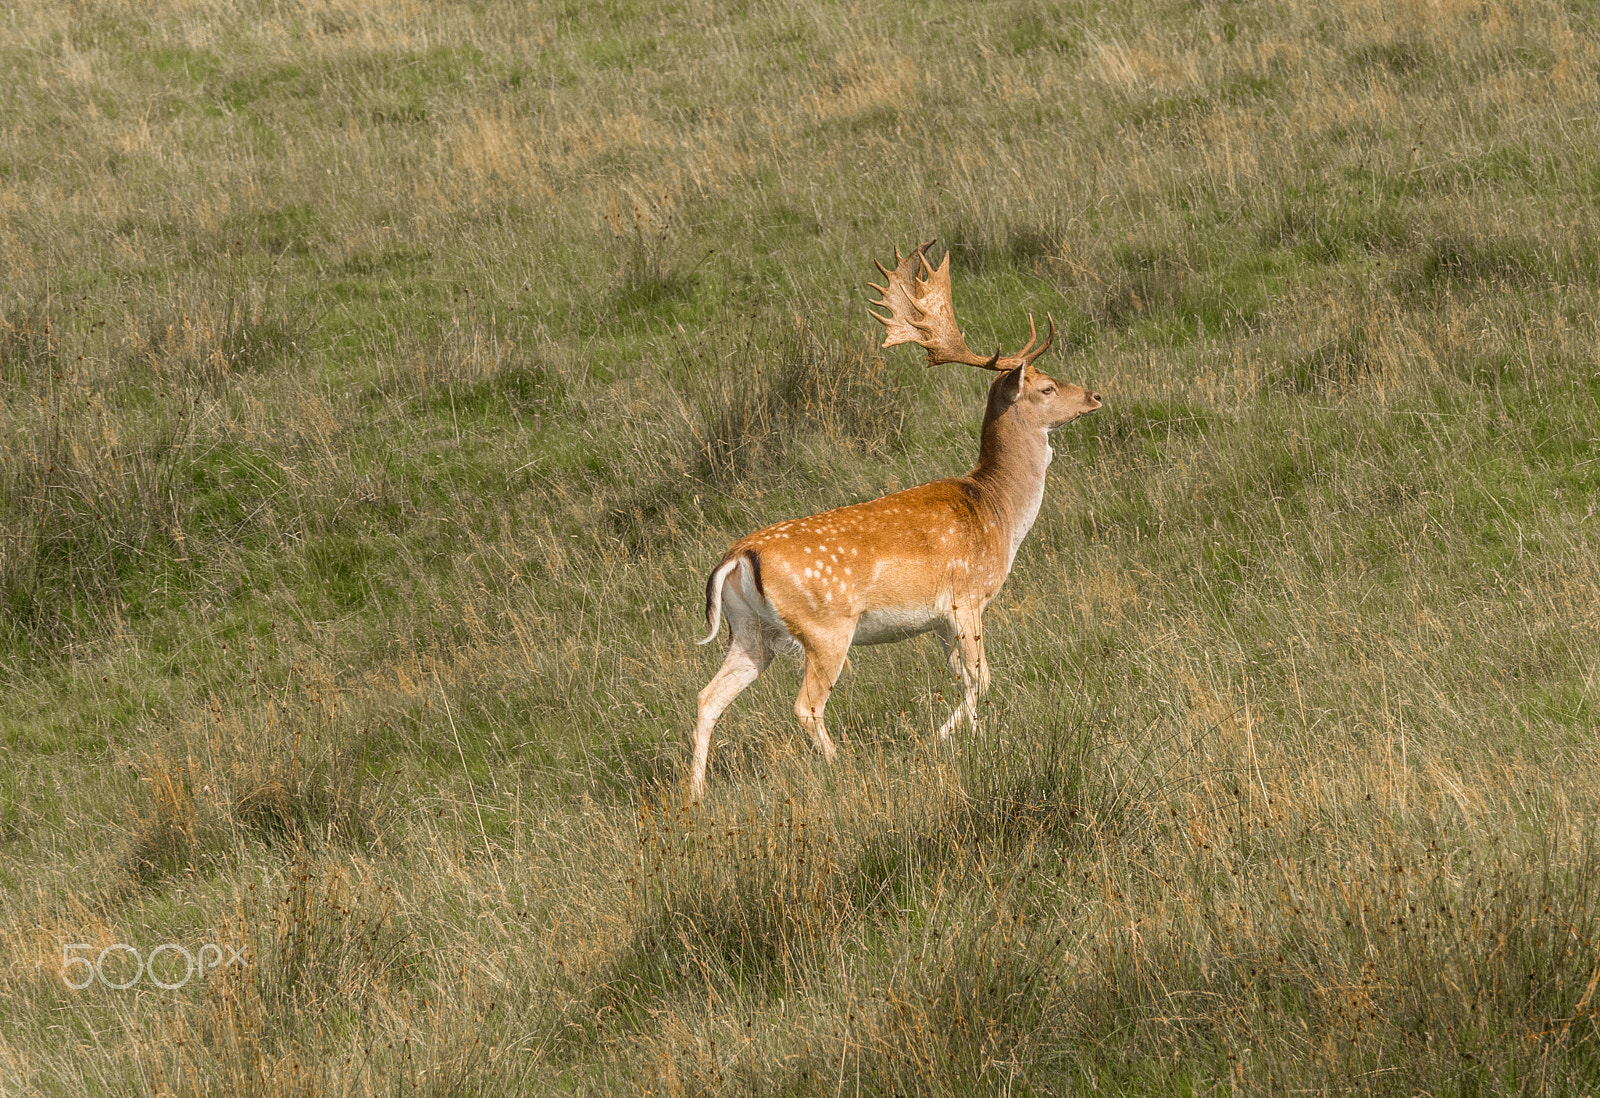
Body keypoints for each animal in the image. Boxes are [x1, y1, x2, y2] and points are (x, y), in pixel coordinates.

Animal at [688, 240, 1100, 800]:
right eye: (1047, 388)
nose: (1096, 395)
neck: (996, 511)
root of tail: (736, 557)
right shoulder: (966, 598)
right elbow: (980, 678)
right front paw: (942, 738)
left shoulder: (940, 618)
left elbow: (966, 678)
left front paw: (974, 739)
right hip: (825, 628)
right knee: (805, 705)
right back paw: (840, 765)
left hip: (750, 633)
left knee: (707, 698)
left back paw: (694, 794)